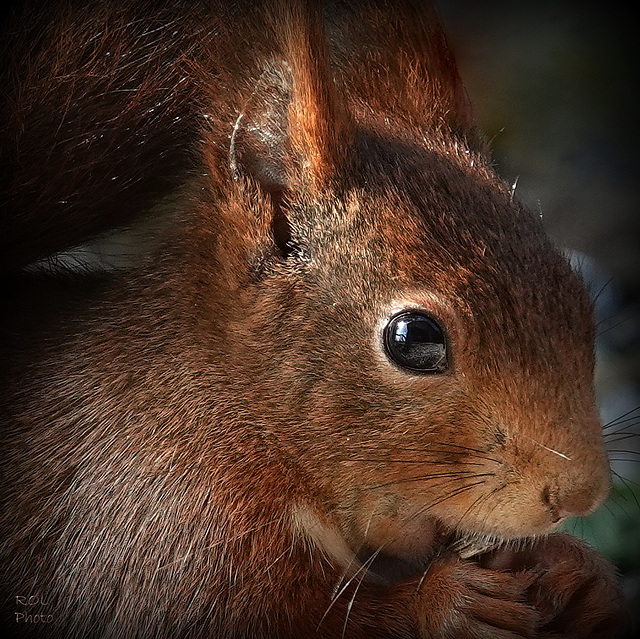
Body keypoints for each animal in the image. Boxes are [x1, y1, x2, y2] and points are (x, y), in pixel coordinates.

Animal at [0, 1, 632, 639]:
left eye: (577, 295)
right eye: (413, 339)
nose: (580, 496)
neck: (237, 411)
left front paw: (578, 574)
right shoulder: (149, 518)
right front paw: (446, 602)